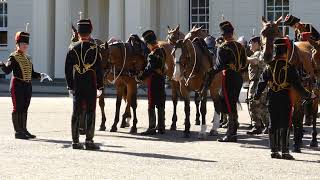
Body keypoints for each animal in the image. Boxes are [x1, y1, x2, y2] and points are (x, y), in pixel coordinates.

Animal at [262, 15, 318, 148]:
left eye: (276, 32)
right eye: (262, 33)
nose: (266, 56)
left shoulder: (297, 94)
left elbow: (295, 116)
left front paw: (296, 142)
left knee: (312, 113)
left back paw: (313, 138)